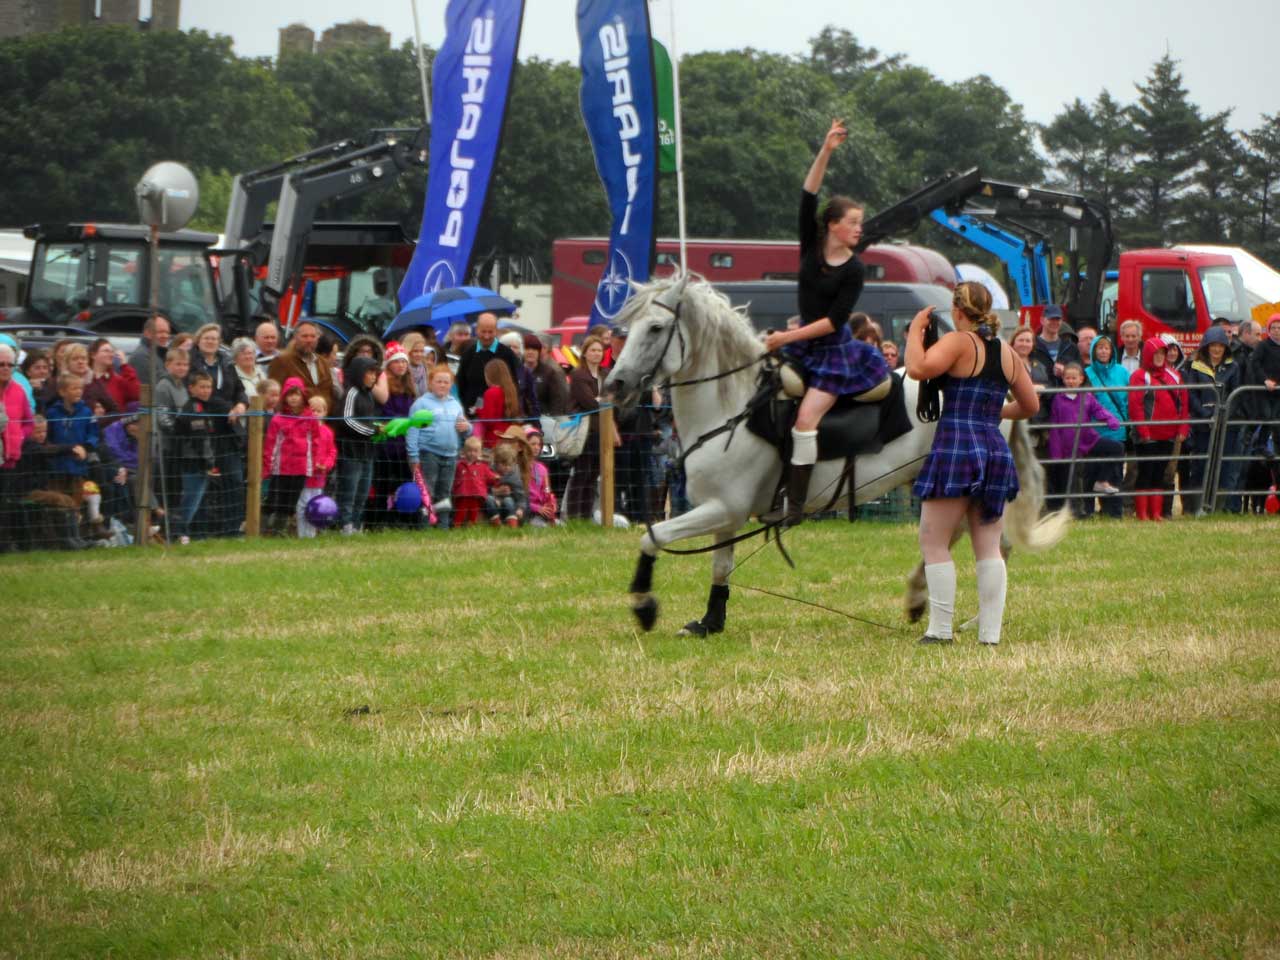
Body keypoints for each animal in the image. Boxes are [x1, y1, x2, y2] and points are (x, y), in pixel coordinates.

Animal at [604, 276, 1064, 640]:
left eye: (656, 328)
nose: (615, 383)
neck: (731, 408)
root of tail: (1007, 397)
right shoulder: (725, 514)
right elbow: (721, 567)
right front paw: (709, 622)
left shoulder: (722, 508)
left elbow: (653, 537)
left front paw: (644, 606)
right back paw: (935, 604)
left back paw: (946, 608)